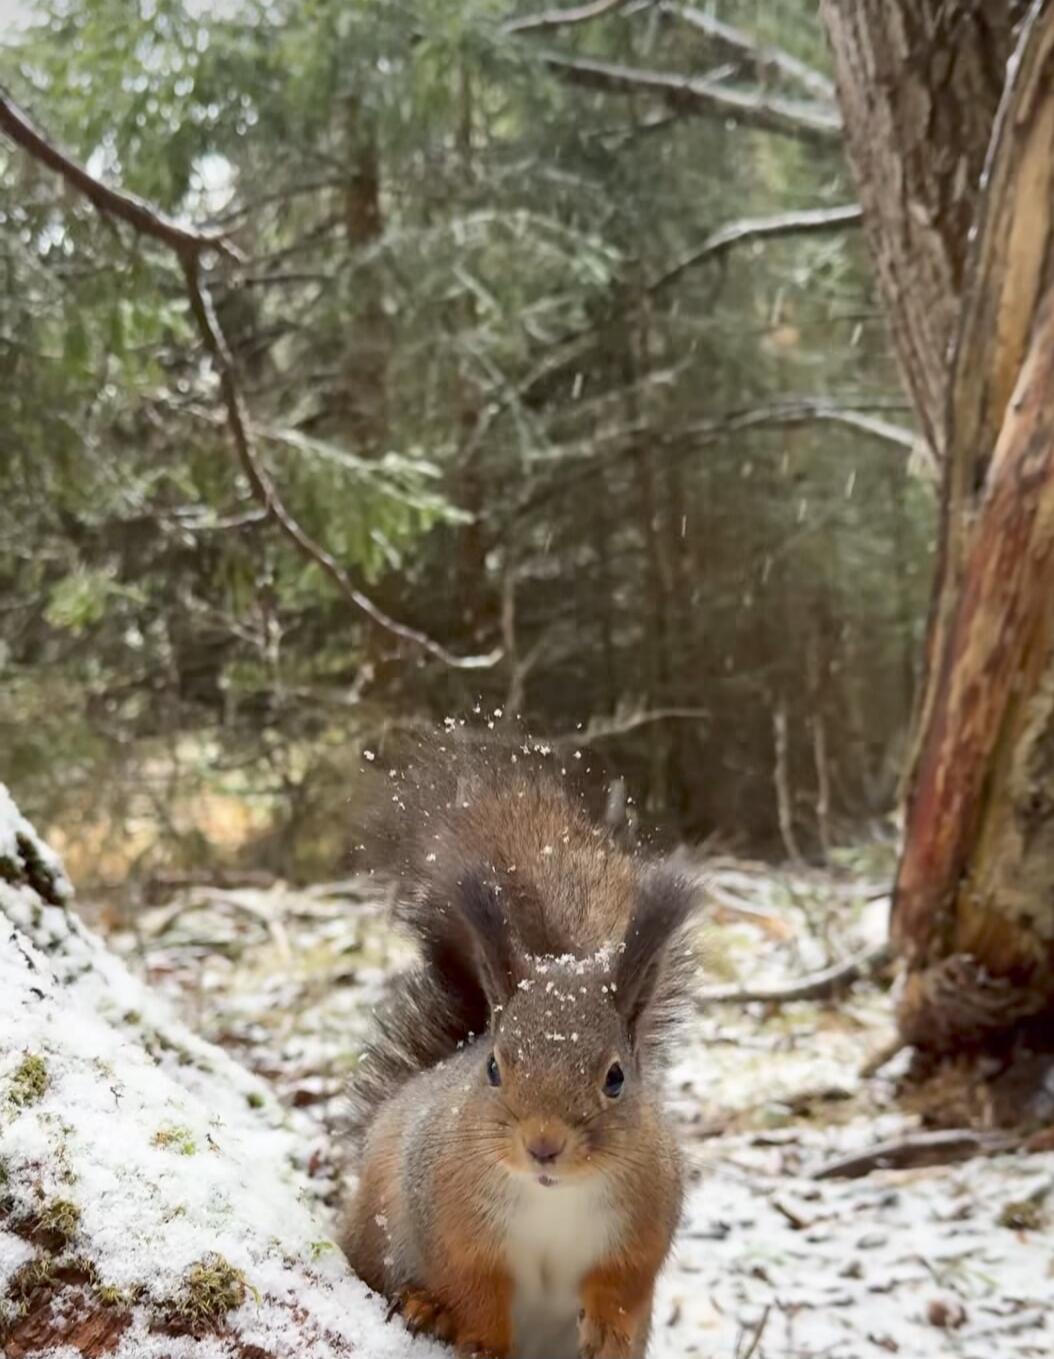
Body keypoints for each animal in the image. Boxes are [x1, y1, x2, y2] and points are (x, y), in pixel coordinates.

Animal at [340, 744, 699, 1359]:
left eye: (615, 1078)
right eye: (493, 1067)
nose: (543, 1145)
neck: (552, 1199)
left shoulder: (647, 1216)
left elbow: (624, 1283)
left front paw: (610, 1333)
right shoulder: (450, 1216)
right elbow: (473, 1287)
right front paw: (480, 1339)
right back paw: (422, 1305)